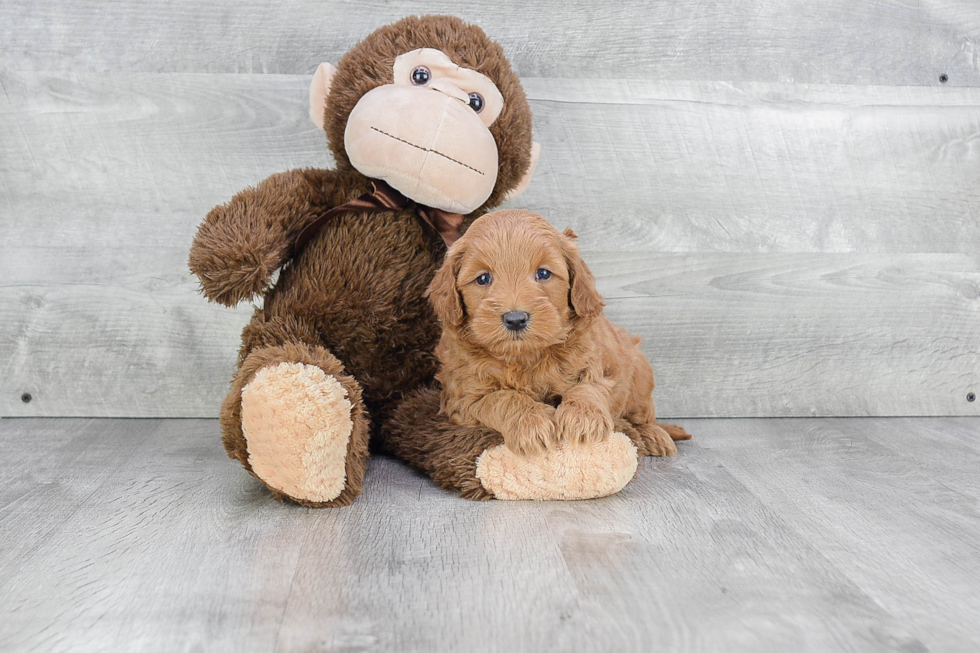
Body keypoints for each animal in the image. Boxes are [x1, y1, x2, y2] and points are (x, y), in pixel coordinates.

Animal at [424, 209, 688, 454]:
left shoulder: (594, 363)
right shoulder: (464, 398)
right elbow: (502, 398)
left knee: (644, 416)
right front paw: (531, 423)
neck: (525, 357)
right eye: (483, 279)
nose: (515, 319)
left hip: (641, 375)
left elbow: (587, 387)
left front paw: (584, 419)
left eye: (543, 273)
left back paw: (653, 435)